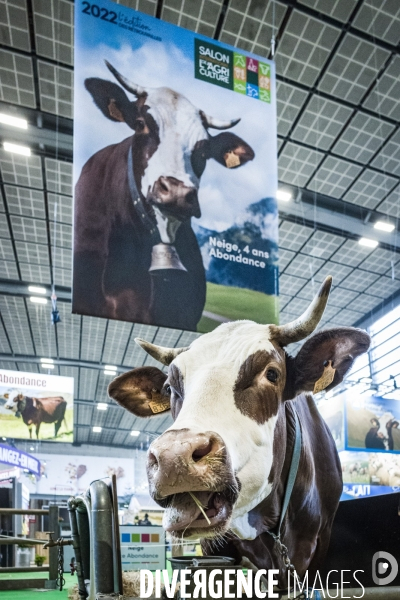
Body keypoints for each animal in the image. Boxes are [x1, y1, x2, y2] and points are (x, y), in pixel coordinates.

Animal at [108, 278, 370, 584]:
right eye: (169, 388)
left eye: (272, 374)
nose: (174, 457)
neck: (265, 523)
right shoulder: (213, 550)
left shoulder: (316, 546)